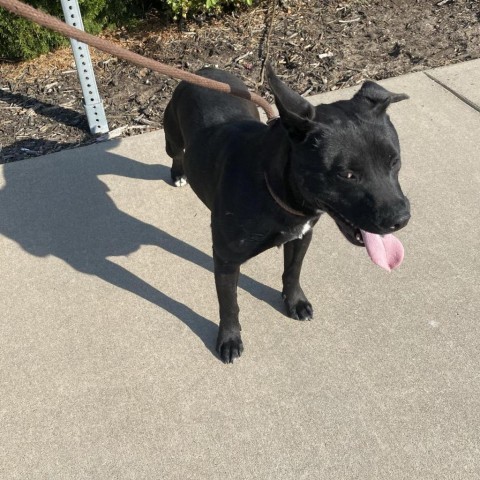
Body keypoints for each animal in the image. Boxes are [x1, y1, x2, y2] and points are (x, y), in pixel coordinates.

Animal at [164, 65, 408, 362]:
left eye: (394, 161)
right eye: (347, 174)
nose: (400, 219)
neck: (272, 186)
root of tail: (206, 69)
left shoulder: (302, 236)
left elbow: (292, 272)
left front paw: (295, 302)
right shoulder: (226, 259)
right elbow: (229, 304)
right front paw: (230, 338)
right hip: (172, 136)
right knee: (176, 152)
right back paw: (178, 173)